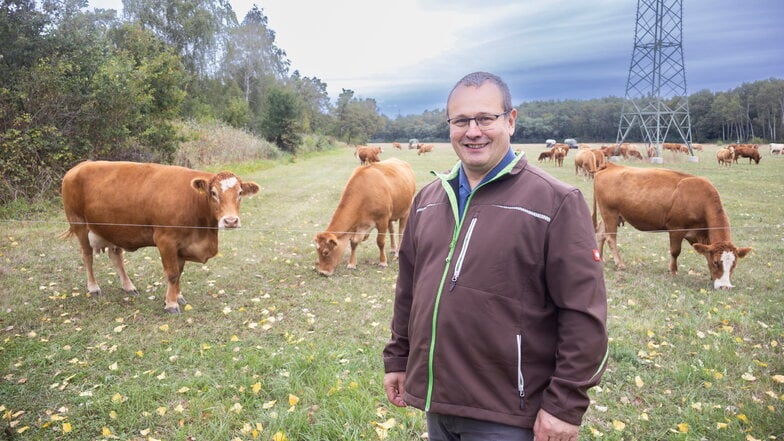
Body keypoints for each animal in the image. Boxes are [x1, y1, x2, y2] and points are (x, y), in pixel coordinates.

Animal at [60, 160, 260, 312]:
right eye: (213, 193)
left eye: (240, 193)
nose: (231, 221)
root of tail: (80, 166)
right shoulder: (166, 240)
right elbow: (172, 273)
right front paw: (171, 304)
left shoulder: (182, 245)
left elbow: (179, 272)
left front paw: (178, 296)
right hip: (79, 224)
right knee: (87, 256)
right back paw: (93, 287)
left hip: (112, 229)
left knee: (116, 256)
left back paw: (128, 286)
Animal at [592, 162, 752, 288]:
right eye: (716, 262)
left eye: (734, 264)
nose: (725, 287)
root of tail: (611, 165)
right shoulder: (676, 228)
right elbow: (675, 251)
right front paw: (673, 271)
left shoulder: (698, 235)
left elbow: (706, 252)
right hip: (610, 213)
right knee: (610, 238)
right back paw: (620, 263)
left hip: (610, 216)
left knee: (600, 234)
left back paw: (600, 258)